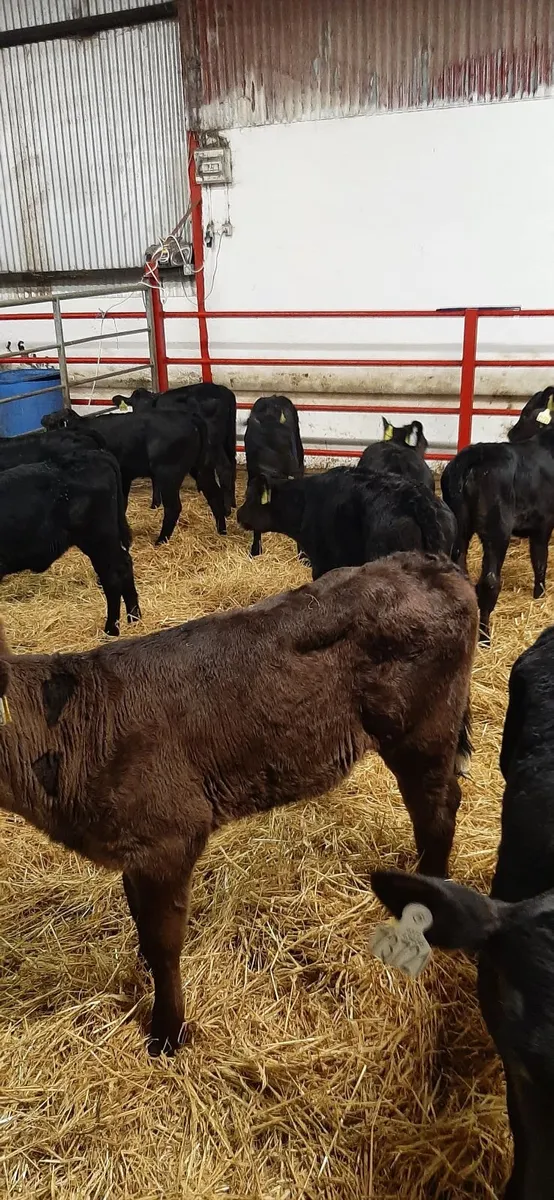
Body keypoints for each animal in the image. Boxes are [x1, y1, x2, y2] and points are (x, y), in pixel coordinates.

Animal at [0, 444, 140, 635]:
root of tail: (93, 454)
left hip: (98, 539)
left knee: (112, 576)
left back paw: (111, 630)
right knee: (125, 565)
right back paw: (135, 619)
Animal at [0, 552, 477, 1054]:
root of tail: (428, 562)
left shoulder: (169, 840)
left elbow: (163, 944)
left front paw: (167, 1033)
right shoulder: (133, 850)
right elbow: (141, 928)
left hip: (421, 734)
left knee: (436, 812)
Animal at [42, 406, 227, 544]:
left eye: (53, 424)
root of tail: (191, 418)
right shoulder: (124, 477)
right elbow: (121, 503)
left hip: (168, 473)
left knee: (173, 507)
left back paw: (161, 540)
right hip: (200, 468)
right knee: (214, 494)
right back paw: (221, 530)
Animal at [441, 386, 554, 642]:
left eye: (526, 414)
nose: (512, 433)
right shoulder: (544, 522)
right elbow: (540, 560)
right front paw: (540, 596)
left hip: (459, 525)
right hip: (497, 528)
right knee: (489, 581)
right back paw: (484, 637)